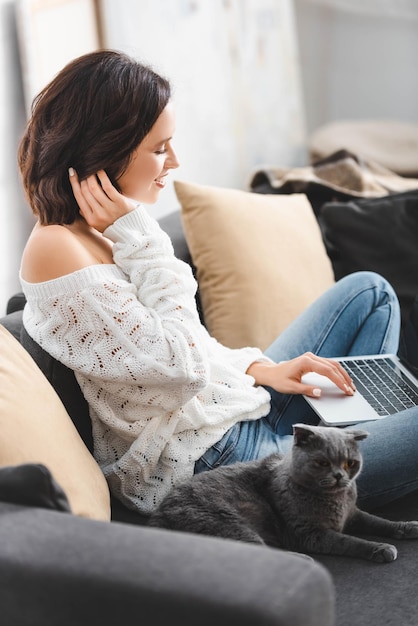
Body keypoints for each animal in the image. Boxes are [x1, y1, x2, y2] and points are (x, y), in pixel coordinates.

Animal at [149, 424, 418, 560]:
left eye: (350, 463)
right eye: (322, 463)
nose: (339, 476)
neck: (336, 501)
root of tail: (158, 516)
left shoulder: (353, 514)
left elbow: (379, 521)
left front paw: (408, 527)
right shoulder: (309, 534)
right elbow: (350, 542)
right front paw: (381, 549)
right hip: (228, 523)